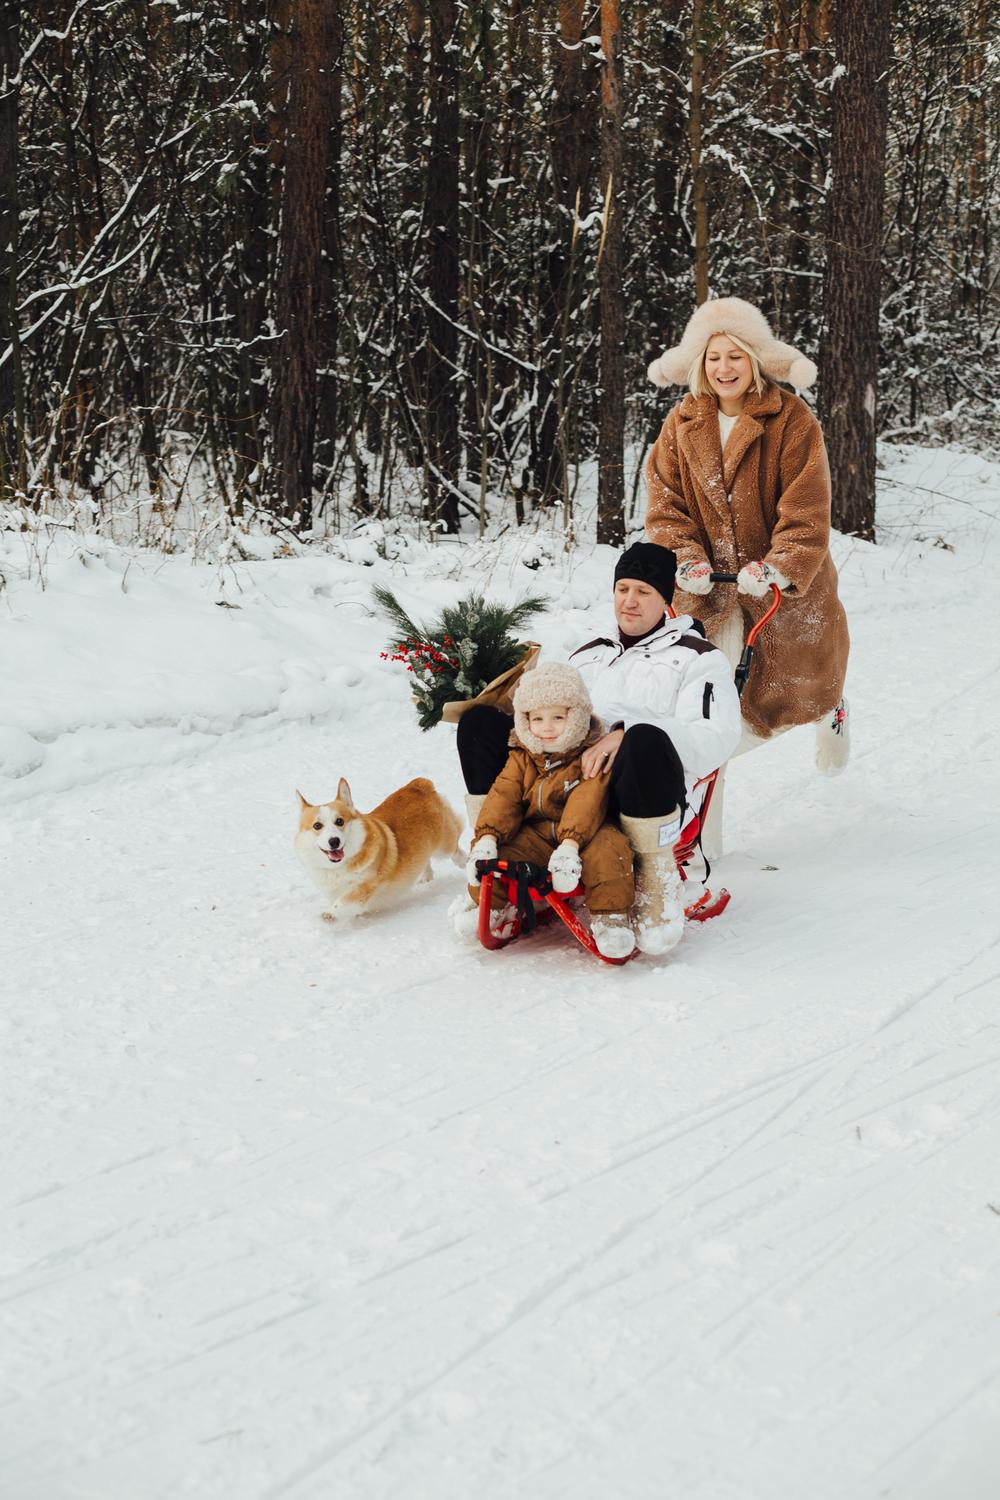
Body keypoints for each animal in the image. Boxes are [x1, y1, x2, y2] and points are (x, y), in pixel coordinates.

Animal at [295, 780, 464, 918]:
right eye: (317, 825)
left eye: (339, 821)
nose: (334, 841)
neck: (338, 867)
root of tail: (419, 785)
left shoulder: (367, 885)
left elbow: (344, 900)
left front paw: (329, 916)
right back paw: (426, 877)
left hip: (444, 847)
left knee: (455, 847)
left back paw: (465, 861)